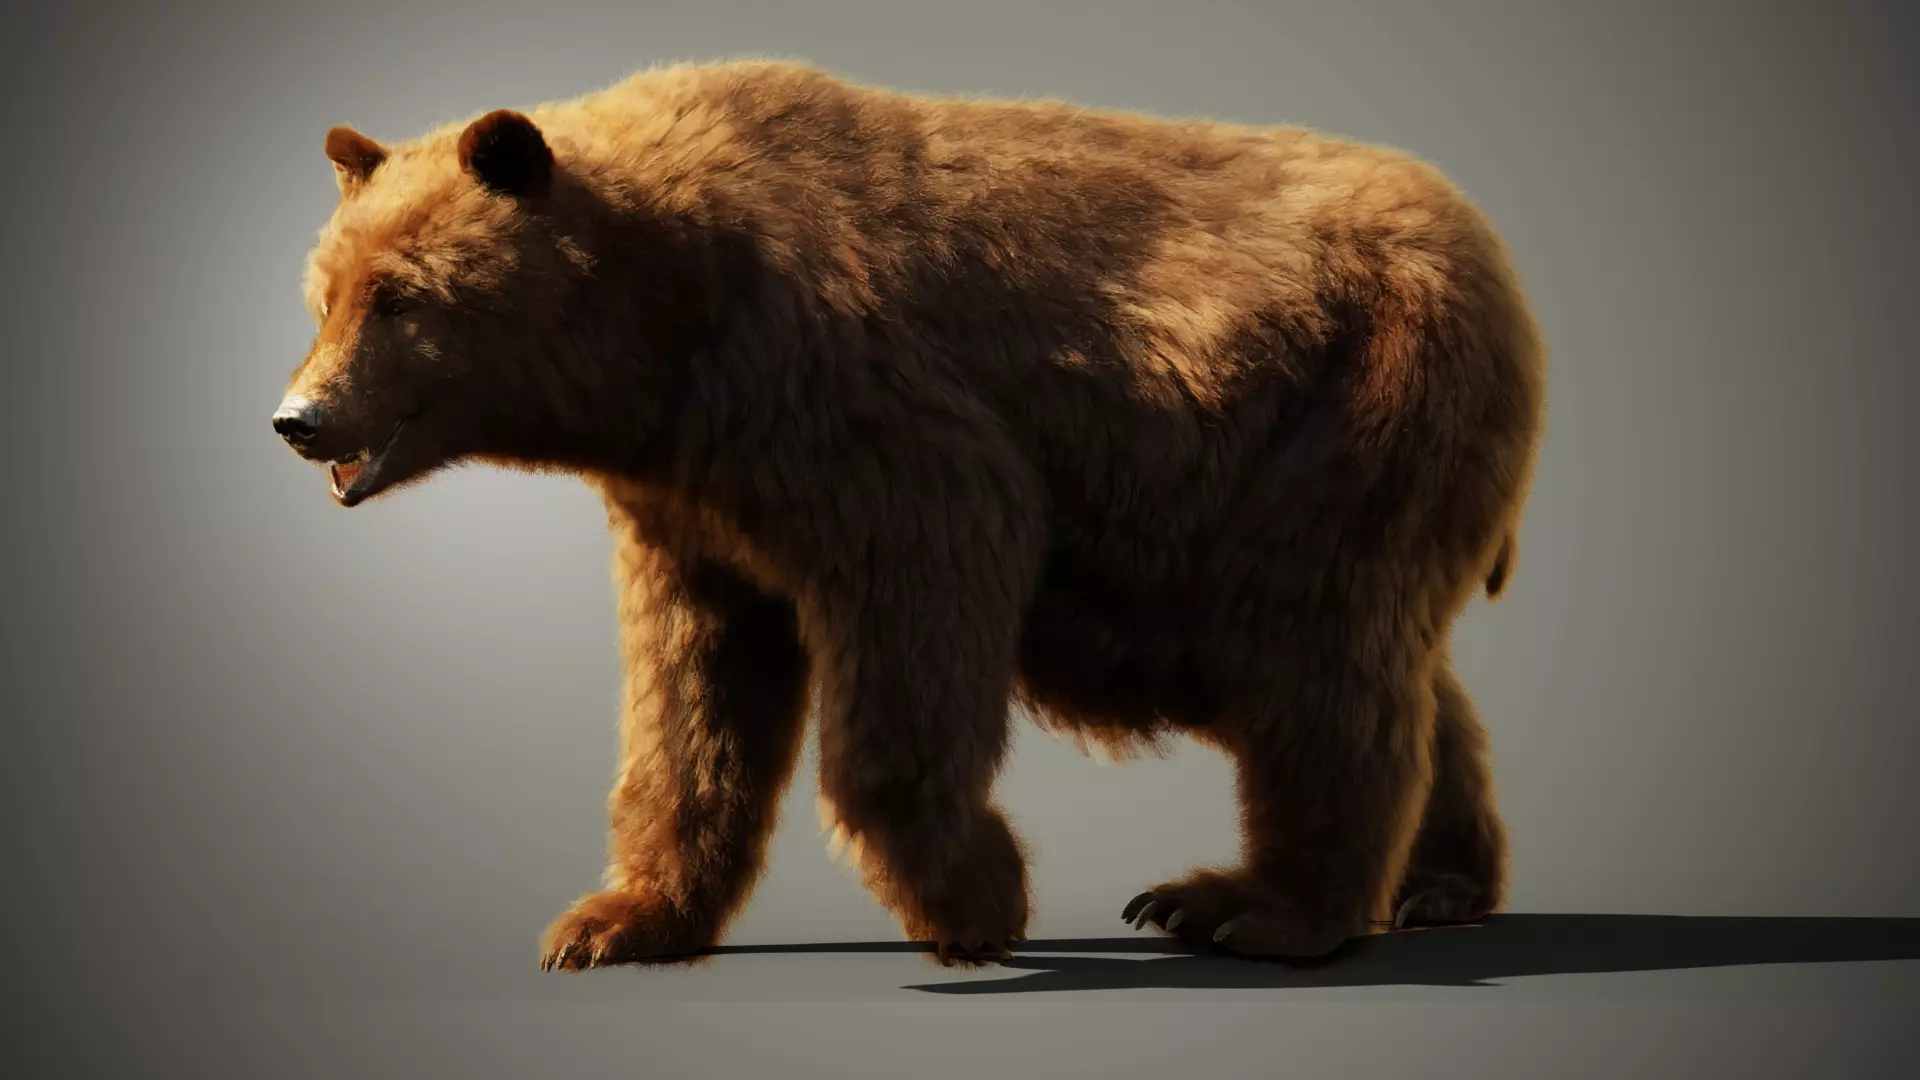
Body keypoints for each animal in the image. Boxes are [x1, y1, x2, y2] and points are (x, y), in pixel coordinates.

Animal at [271, 58, 1546, 969]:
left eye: (403, 296)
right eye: (323, 291)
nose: (299, 418)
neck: (671, 323)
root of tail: (1493, 255)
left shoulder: (860, 406)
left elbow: (921, 613)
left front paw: (977, 901)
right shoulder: (692, 505)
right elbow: (692, 696)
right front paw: (612, 920)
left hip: (1350, 411)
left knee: (1318, 659)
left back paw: (1245, 907)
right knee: (1398, 670)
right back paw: (1437, 883)